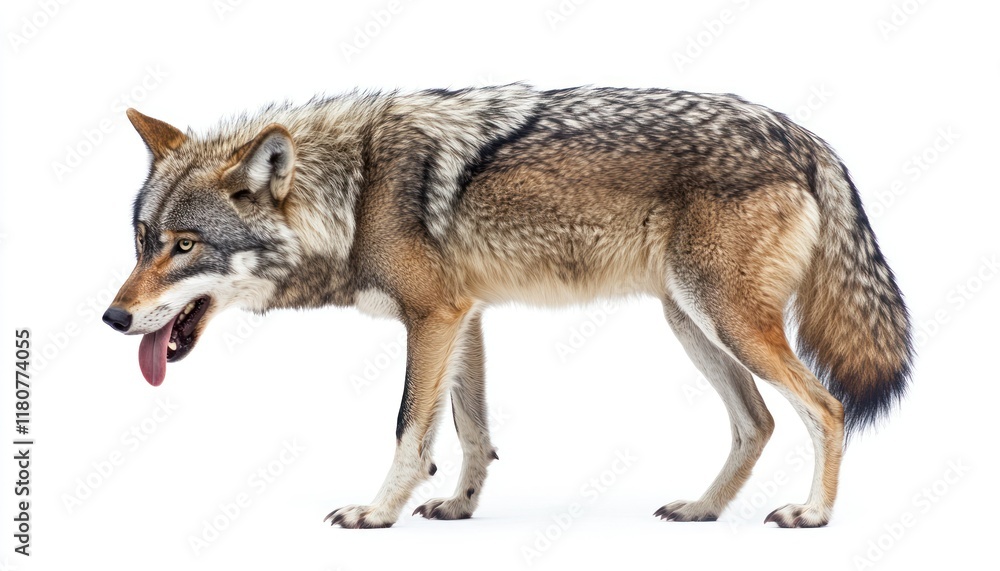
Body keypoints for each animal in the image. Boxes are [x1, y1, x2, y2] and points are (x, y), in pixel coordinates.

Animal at [102, 85, 913, 529]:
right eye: (141, 242)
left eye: (184, 246)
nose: (113, 319)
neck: (355, 191)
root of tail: (805, 135)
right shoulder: (465, 315)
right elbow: (471, 431)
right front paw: (459, 507)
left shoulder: (433, 316)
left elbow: (409, 428)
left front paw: (376, 512)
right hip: (691, 322)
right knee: (759, 420)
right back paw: (701, 509)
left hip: (724, 320)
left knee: (826, 407)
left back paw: (813, 514)